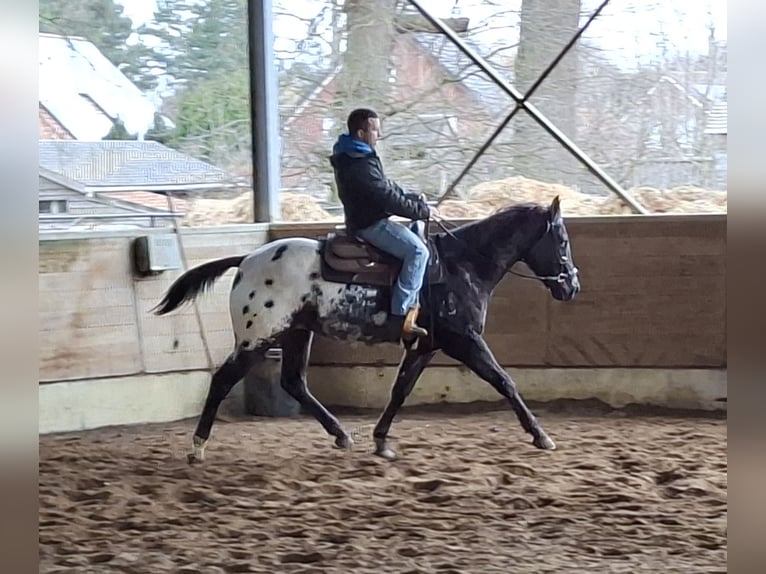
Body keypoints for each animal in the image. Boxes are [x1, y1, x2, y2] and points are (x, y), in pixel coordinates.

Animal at [153, 195, 580, 463]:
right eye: (561, 239)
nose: (571, 286)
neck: (462, 265)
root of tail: (246, 260)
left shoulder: (425, 346)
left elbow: (400, 390)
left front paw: (381, 440)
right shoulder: (465, 341)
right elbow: (504, 382)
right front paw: (540, 436)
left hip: (296, 333)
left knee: (293, 382)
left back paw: (341, 434)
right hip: (257, 337)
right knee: (223, 380)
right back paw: (197, 447)